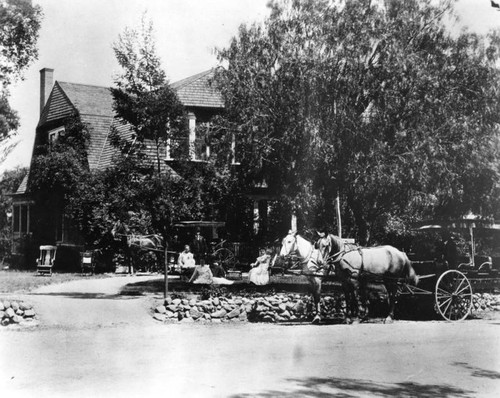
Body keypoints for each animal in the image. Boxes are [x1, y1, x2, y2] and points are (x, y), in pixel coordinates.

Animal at [280, 230, 420, 324]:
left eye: (289, 241)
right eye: (316, 245)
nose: (319, 262)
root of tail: (401, 252)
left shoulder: (346, 280)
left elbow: (350, 298)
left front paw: (318, 317)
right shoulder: (343, 281)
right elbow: (347, 298)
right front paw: (348, 317)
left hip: (392, 281)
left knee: (392, 296)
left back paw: (388, 317)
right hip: (383, 280)